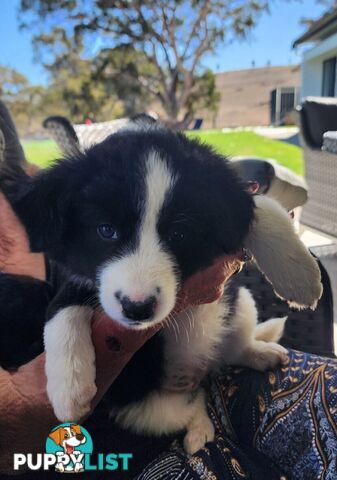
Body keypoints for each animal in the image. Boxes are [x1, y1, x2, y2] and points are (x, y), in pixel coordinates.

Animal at [0, 119, 322, 454]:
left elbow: (260, 206)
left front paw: (300, 277)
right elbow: (62, 305)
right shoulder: (72, 271)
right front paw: (69, 385)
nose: (137, 308)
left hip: (240, 301)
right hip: (145, 410)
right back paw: (200, 430)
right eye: (106, 230)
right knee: (195, 402)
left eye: (178, 234)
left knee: (234, 349)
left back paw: (259, 353)